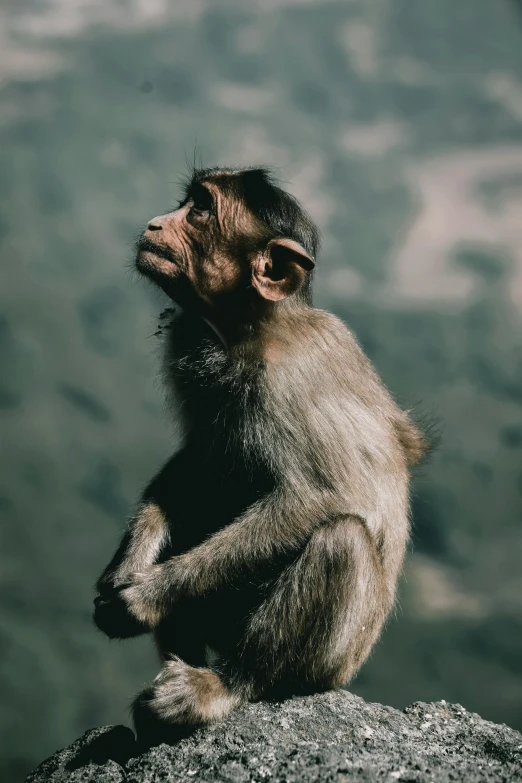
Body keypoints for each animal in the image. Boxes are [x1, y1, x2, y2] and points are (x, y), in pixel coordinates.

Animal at [93, 165, 426, 740]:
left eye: (201, 210)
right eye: (187, 202)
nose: (156, 223)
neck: (249, 329)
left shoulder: (286, 381)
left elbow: (316, 497)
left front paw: (149, 593)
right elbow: (197, 466)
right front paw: (131, 558)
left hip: (332, 662)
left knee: (341, 539)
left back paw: (225, 684)